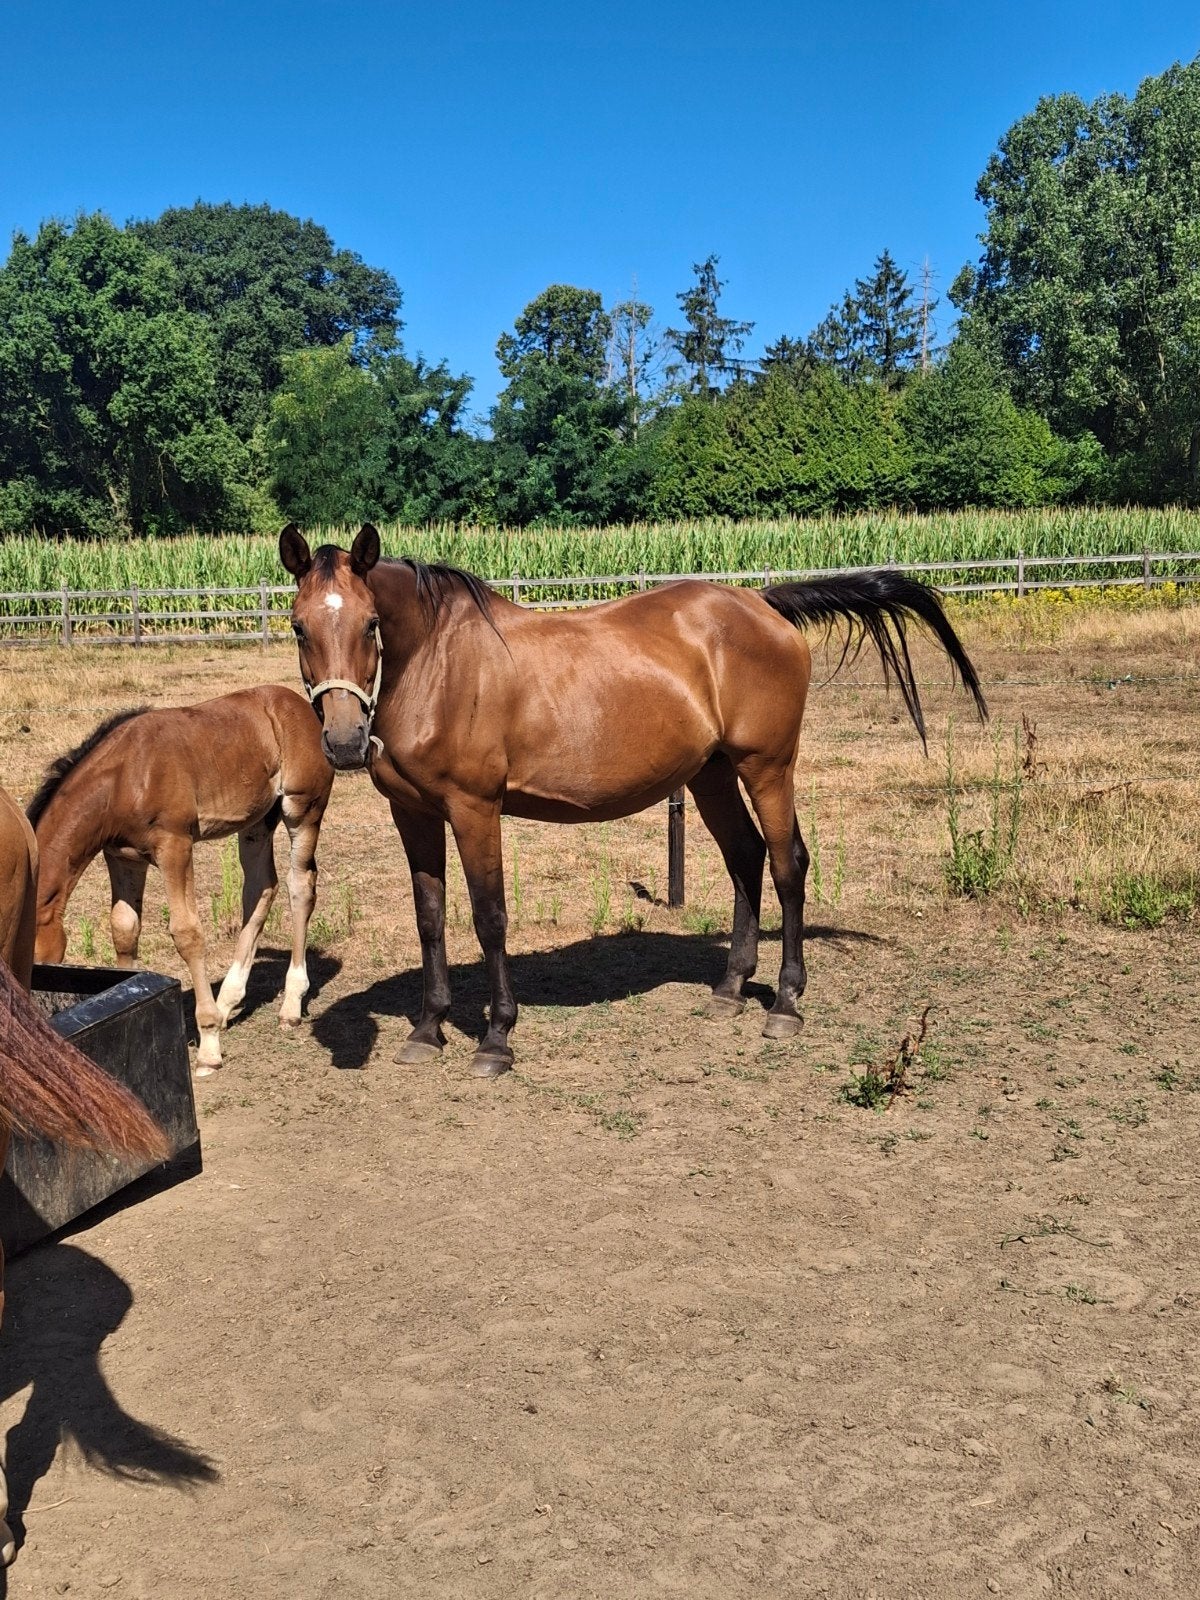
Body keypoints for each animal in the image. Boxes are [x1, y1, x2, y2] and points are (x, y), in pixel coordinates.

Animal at [28, 685, 334, 1073]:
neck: (124, 778)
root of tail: (302, 706)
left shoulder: (175, 847)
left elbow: (187, 933)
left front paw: (208, 1048)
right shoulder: (122, 857)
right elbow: (124, 929)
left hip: (302, 810)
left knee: (300, 888)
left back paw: (290, 1004)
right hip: (257, 823)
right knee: (261, 889)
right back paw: (227, 1003)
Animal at [280, 523, 987, 1077]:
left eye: (371, 623)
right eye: (299, 627)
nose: (344, 742)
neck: (437, 663)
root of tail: (763, 604)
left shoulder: (475, 808)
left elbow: (489, 918)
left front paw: (497, 1038)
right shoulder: (415, 812)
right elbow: (430, 918)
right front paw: (428, 1030)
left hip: (767, 767)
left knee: (788, 865)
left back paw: (786, 1003)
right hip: (710, 774)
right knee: (745, 858)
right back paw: (731, 988)